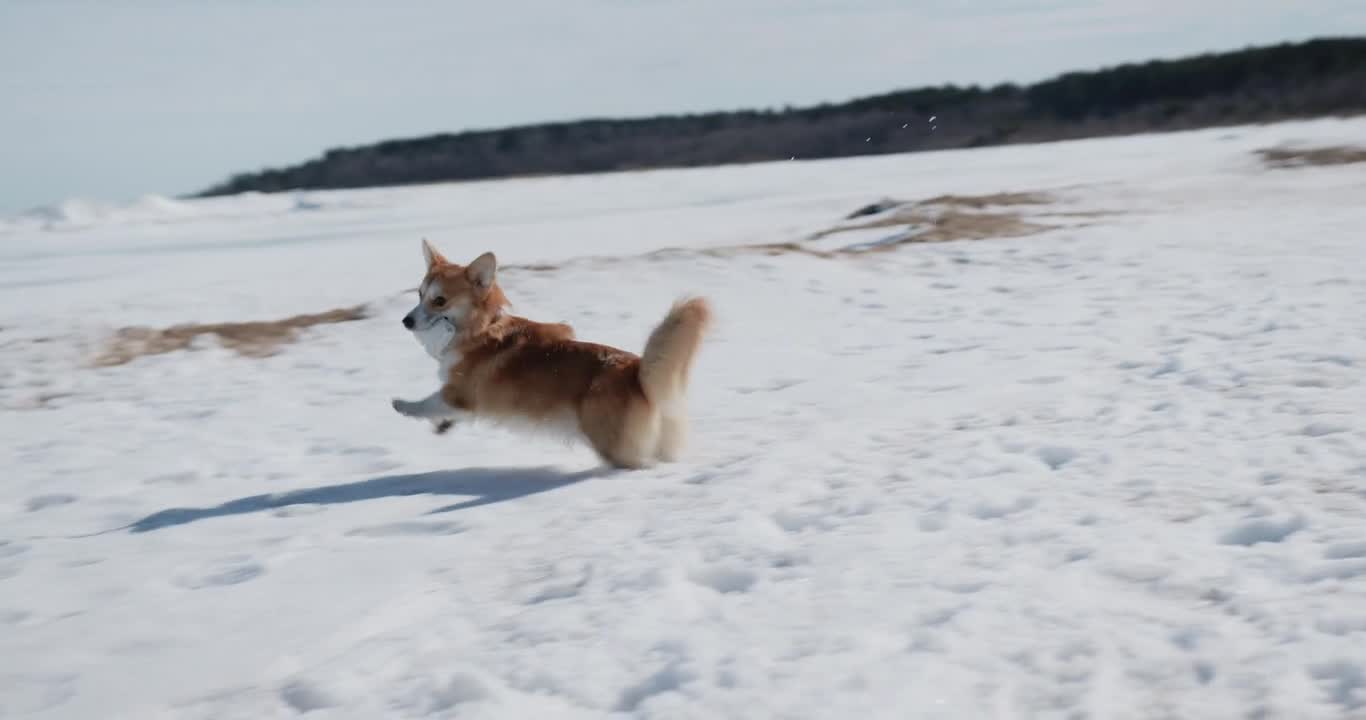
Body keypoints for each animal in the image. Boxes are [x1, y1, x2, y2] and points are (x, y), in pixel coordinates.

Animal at [393, 239, 715, 469]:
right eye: (419, 295)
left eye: (440, 301)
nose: (405, 321)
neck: (480, 328)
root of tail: (637, 372)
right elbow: (441, 413)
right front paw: (442, 427)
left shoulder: (458, 394)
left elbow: (427, 403)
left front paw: (402, 405)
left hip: (613, 446)